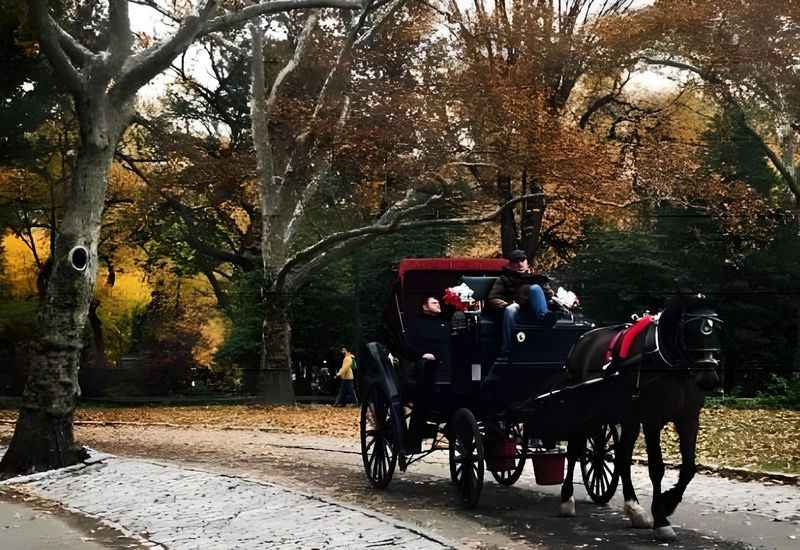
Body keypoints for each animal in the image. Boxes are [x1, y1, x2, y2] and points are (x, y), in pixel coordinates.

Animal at [560, 298, 720, 544]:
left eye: (715, 329)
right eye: (690, 330)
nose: (709, 378)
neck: (668, 363)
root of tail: (581, 341)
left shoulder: (688, 419)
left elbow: (688, 468)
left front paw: (668, 503)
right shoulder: (651, 420)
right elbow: (656, 468)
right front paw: (661, 520)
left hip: (627, 419)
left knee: (621, 457)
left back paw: (633, 508)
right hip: (585, 413)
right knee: (574, 450)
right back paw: (567, 499)